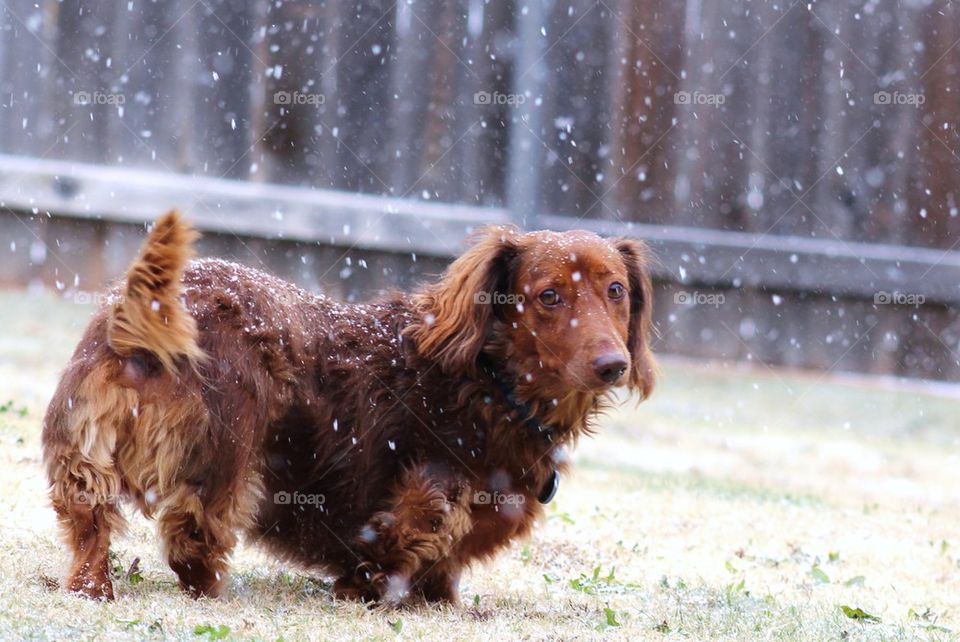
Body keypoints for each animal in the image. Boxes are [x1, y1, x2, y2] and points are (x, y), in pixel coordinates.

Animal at [39, 210, 652, 600]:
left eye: (616, 290)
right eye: (549, 295)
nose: (613, 365)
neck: (489, 383)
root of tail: (150, 313)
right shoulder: (427, 497)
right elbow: (399, 547)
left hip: (80, 456)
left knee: (91, 525)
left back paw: (92, 588)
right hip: (229, 451)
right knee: (192, 541)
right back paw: (211, 590)